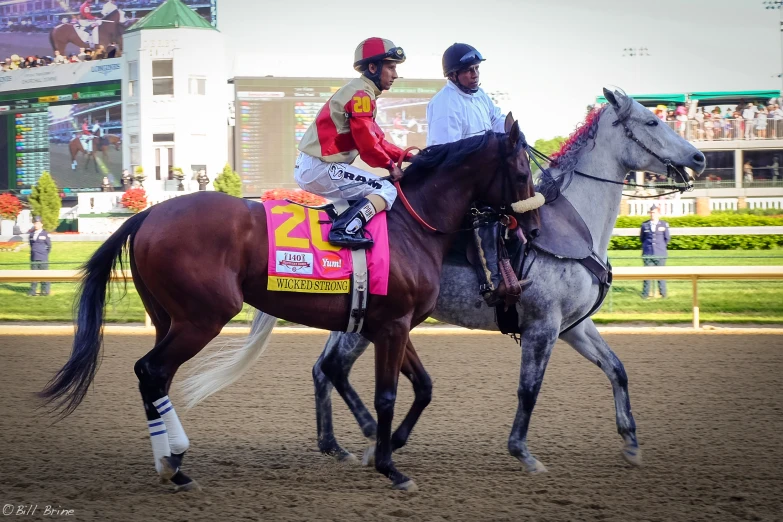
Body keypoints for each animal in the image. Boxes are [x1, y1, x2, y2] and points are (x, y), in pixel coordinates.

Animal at [43, 122, 540, 492]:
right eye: (521, 171)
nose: (532, 226)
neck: (412, 225)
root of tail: (148, 213)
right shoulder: (394, 326)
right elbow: (386, 396)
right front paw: (389, 466)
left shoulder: (390, 326)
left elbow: (424, 387)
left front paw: (387, 447)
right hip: (202, 317)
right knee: (150, 370)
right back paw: (174, 463)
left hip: (169, 317)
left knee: (156, 377)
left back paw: (173, 466)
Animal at [310, 88, 708, 472]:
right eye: (652, 120)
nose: (700, 157)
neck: (573, 227)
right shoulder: (543, 325)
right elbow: (529, 389)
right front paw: (522, 451)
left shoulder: (575, 326)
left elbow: (617, 369)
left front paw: (631, 442)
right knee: (334, 367)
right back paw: (369, 439)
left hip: (354, 317)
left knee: (321, 369)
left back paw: (335, 446)